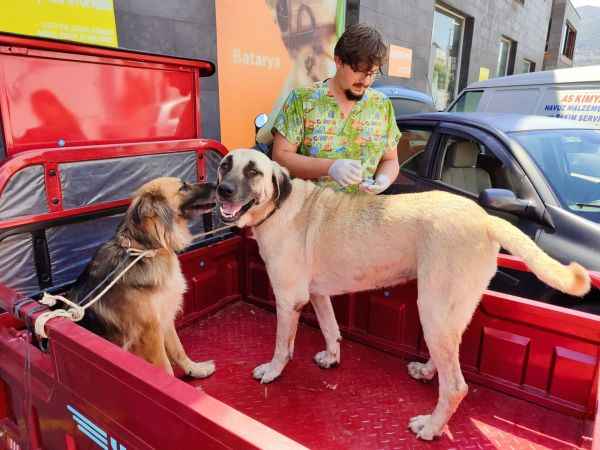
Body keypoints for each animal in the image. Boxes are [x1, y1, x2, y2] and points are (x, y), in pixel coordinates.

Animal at [68, 178, 218, 378]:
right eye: (183, 187)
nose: (218, 183)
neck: (146, 249)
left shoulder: (164, 316)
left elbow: (178, 348)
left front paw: (194, 369)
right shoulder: (149, 331)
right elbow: (164, 366)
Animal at [216, 149, 592, 442]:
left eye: (253, 172)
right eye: (224, 165)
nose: (222, 190)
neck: (279, 207)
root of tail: (486, 219)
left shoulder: (288, 299)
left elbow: (283, 345)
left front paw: (273, 371)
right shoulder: (317, 295)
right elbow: (330, 328)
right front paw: (332, 357)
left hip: (432, 308)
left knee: (456, 386)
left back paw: (431, 427)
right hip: (448, 311)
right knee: (448, 357)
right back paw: (427, 372)